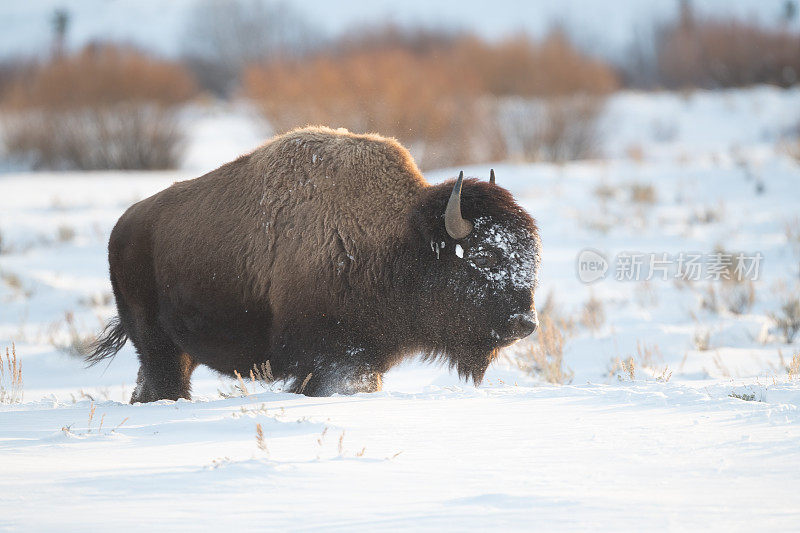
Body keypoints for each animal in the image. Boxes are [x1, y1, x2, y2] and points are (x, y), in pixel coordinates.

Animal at [87, 125, 540, 400]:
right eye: (487, 254)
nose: (527, 323)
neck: (400, 237)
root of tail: (122, 227)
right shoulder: (332, 359)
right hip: (158, 345)